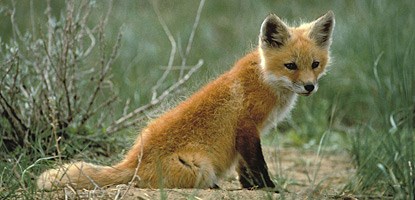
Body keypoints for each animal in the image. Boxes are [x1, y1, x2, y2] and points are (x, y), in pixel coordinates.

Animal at [36, 10, 334, 191]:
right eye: (290, 66)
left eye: (315, 64)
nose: (309, 87)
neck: (265, 78)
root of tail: (131, 163)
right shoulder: (247, 127)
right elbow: (257, 163)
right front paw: (268, 187)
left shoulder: (247, 134)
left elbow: (243, 167)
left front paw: (250, 187)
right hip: (200, 167)